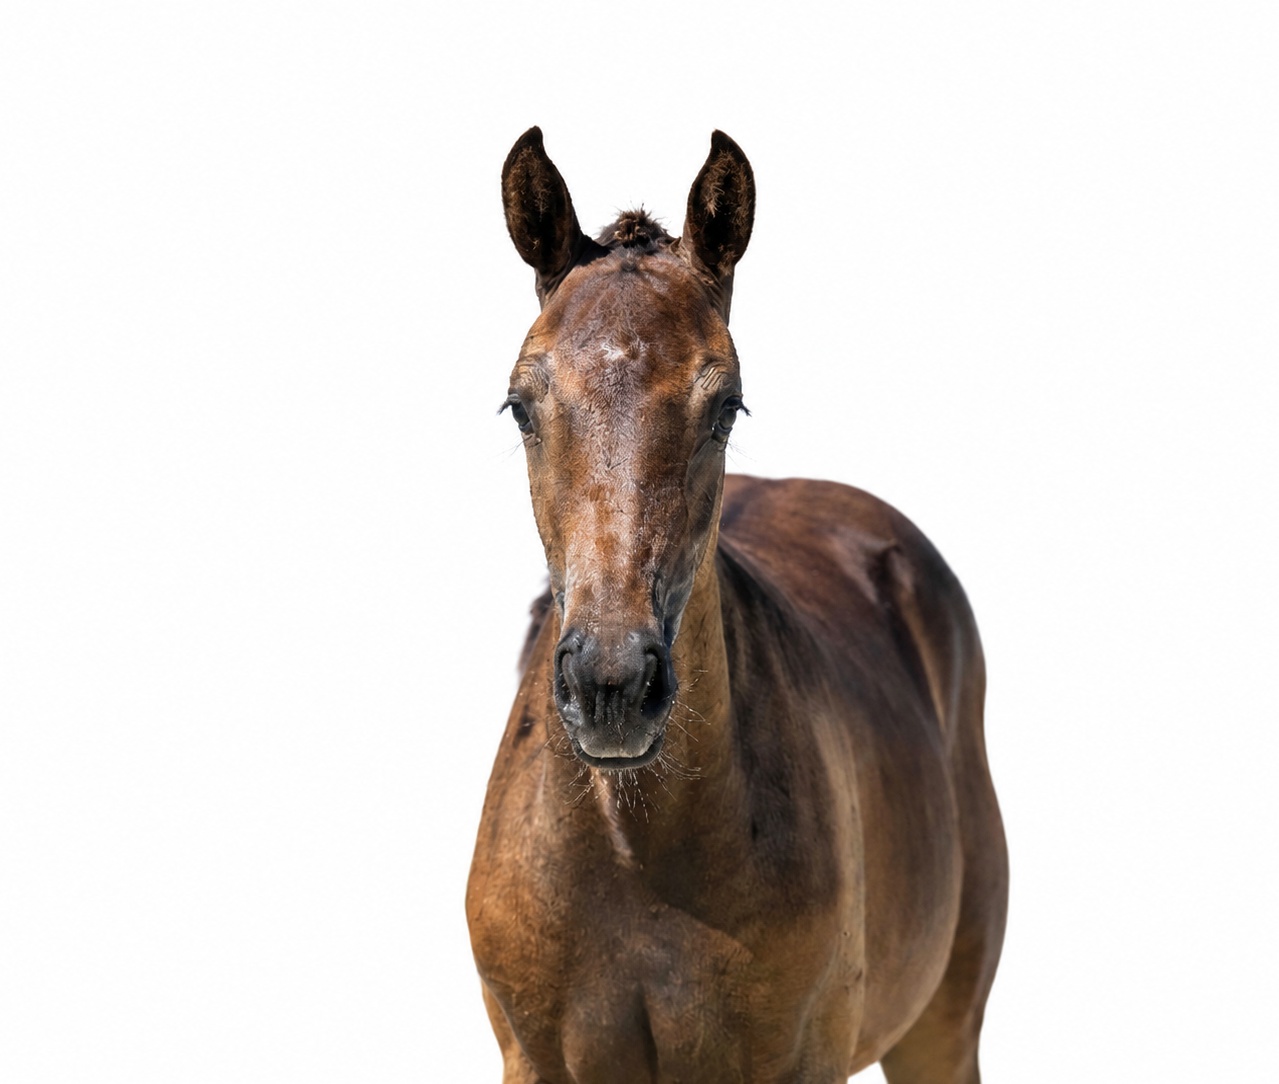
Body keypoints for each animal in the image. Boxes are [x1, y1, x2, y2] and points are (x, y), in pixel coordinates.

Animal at [466, 128, 1008, 1084]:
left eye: (725, 405)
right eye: (520, 405)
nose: (611, 685)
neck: (632, 846)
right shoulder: (532, 1060)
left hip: (941, 1028)